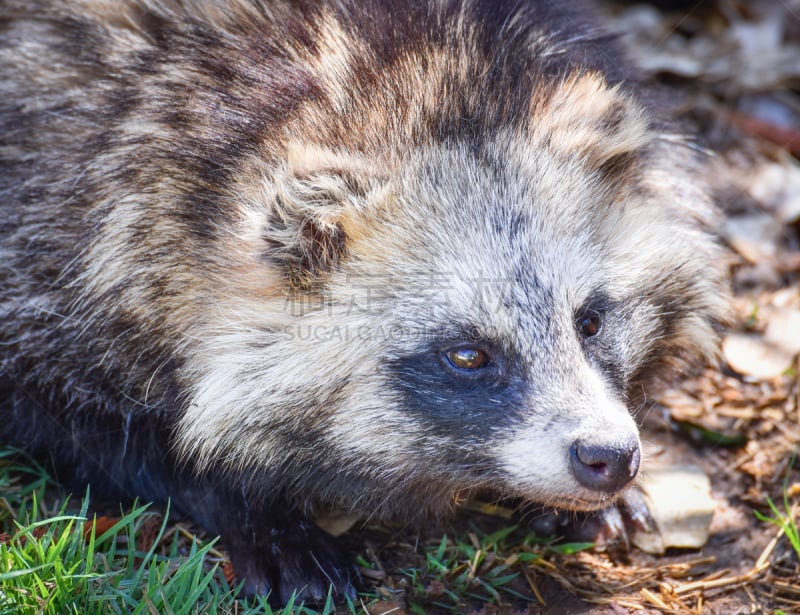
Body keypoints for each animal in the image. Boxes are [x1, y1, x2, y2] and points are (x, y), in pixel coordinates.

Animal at [0, 0, 724, 608]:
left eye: (591, 321)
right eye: (468, 354)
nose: (610, 456)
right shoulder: (58, 232)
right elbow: (68, 414)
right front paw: (247, 503)